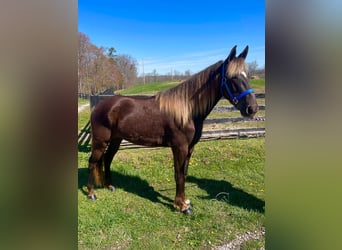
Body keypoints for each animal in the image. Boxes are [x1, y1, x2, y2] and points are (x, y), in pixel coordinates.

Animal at [87, 46, 258, 214]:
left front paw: (185, 201)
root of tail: (100, 106)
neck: (188, 111)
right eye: (232, 77)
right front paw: (182, 206)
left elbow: (184, 173)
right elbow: (179, 175)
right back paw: (91, 194)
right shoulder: (179, 147)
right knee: (92, 162)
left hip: (116, 140)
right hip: (100, 142)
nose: (252, 108)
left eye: (248, 76)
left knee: (107, 159)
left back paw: (109, 186)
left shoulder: (190, 148)